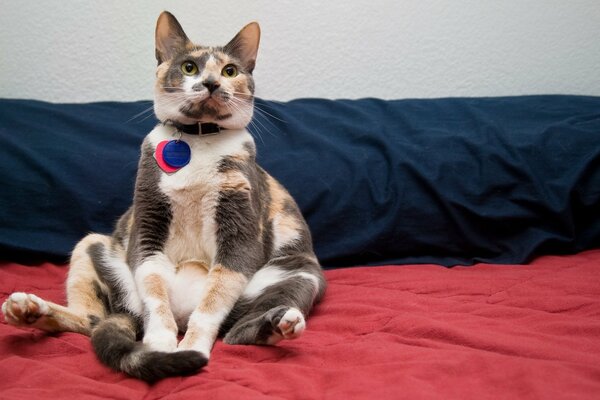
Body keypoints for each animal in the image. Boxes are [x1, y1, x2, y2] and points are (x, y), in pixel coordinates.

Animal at [2, 10, 326, 382]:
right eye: (189, 67)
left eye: (230, 70)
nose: (212, 82)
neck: (198, 141)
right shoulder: (147, 225)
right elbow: (155, 292)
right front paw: (160, 345)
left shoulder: (240, 232)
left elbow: (212, 302)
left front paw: (192, 349)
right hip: (92, 245)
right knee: (93, 319)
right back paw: (26, 308)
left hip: (300, 273)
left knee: (236, 331)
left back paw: (279, 323)